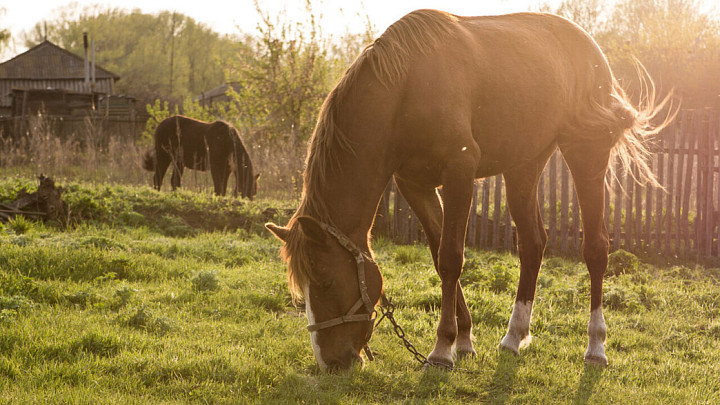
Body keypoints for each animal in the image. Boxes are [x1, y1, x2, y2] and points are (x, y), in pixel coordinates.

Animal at [268, 9, 672, 370]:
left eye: (324, 279)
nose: (330, 361)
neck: (405, 89)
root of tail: (591, 50)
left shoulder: (459, 175)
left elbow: (451, 258)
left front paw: (442, 349)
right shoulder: (416, 185)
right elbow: (439, 259)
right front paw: (463, 340)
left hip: (585, 152)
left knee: (596, 249)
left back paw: (595, 346)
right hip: (523, 165)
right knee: (532, 243)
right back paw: (514, 336)